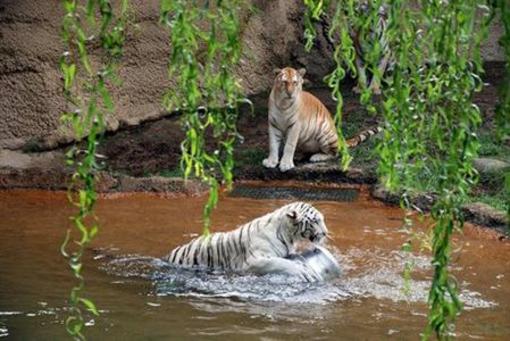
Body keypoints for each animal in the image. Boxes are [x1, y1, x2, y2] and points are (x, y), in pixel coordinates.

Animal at [165, 202, 328, 282]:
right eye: (315, 221)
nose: (325, 233)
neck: (289, 235)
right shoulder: (254, 260)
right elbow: (281, 262)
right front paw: (305, 272)